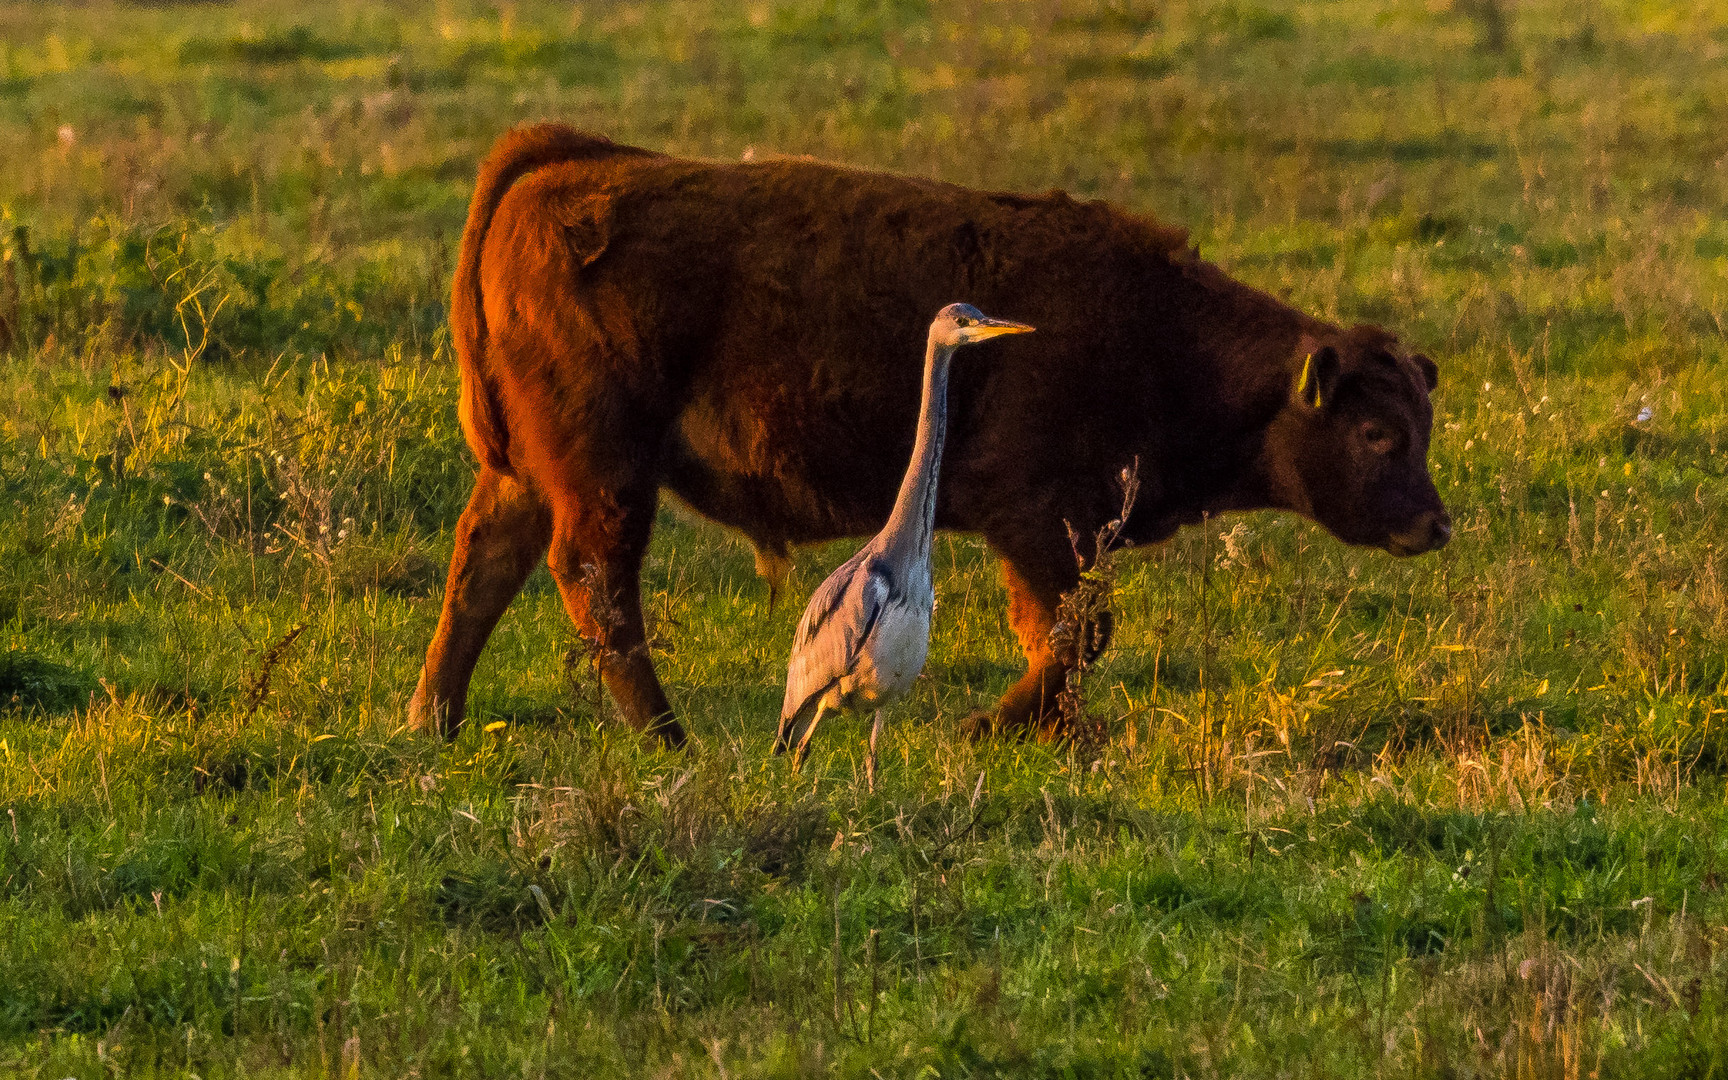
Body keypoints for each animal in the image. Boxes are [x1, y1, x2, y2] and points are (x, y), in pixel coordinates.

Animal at [411, 124, 1451, 739]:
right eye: (1376, 434)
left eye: (1423, 423)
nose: (1436, 526)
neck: (1159, 329)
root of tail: (566, 162)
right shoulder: (1039, 519)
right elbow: (1076, 630)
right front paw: (998, 728)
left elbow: (1066, 634)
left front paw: (1053, 735)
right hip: (605, 474)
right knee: (595, 584)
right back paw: (666, 735)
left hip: (530, 476)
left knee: (484, 565)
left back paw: (435, 719)